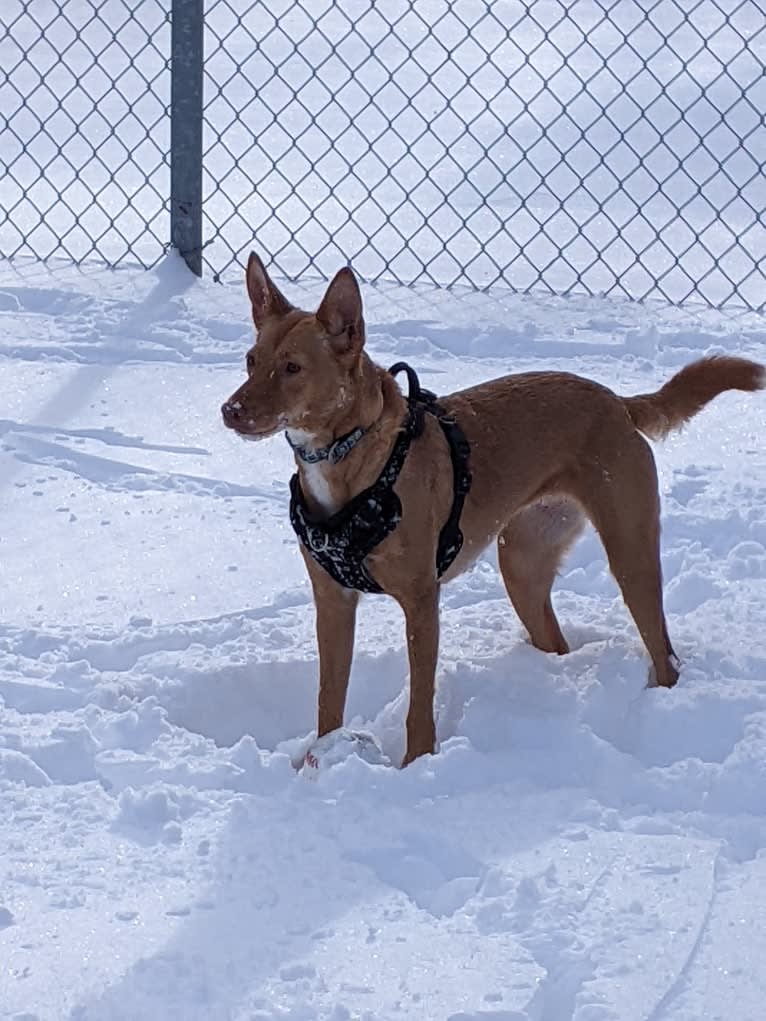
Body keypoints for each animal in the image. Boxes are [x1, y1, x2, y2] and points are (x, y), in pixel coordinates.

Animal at [220, 253, 763, 767]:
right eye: (251, 360)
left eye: (292, 368)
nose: (230, 411)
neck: (350, 458)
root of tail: (615, 401)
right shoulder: (332, 601)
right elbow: (328, 699)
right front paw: (318, 759)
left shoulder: (421, 602)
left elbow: (420, 703)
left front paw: (416, 764)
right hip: (523, 563)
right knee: (556, 640)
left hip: (630, 554)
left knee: (664, 651)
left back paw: (659, 704)